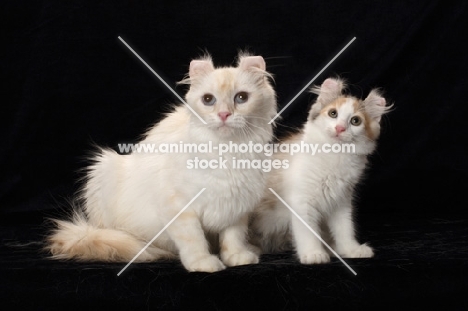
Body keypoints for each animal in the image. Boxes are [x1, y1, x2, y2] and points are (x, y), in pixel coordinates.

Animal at [46, 53, 278, 272]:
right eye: (208, 99)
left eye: (241, 97)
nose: (224, 114)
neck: (228, 151)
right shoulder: (178, 207)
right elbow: (193, 240)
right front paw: (202, 263)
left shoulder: (238, 206)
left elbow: (233, 237)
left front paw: (237, 258)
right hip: (104, 172)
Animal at [250, 78, 390, 266]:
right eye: (333, 113)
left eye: (355, 121)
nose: (339, 128)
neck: (335, 155)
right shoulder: (302, 201)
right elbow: (308, 232)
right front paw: (313, 253)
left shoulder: (341, 201)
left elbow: (345, 228)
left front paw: (350, 249)